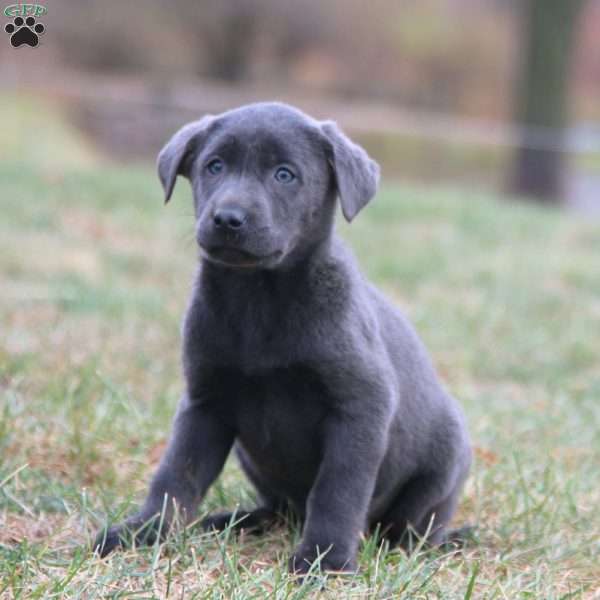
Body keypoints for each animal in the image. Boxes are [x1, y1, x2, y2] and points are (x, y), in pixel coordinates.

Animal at [94, 102, 472, 572]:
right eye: (214, 166)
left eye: (285, 174)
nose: (227, 218)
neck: (259, 300)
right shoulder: (205, 402)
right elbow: (175, 475)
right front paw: (142, 533)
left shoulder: (360, 407)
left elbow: (336, 492)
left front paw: (324, 560)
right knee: (279, 510)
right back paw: (229, 522)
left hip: (444, 463)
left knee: (407, 529)